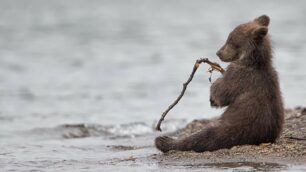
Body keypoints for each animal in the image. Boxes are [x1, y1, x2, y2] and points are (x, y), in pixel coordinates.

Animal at [155, 14, 284, 152]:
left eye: (230, 40)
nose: (218, 53)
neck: (254, 61)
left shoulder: (239, 75)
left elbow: (222, 92)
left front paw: (213, 94)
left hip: (227, 129)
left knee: (200, 137)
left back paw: (164, 140)